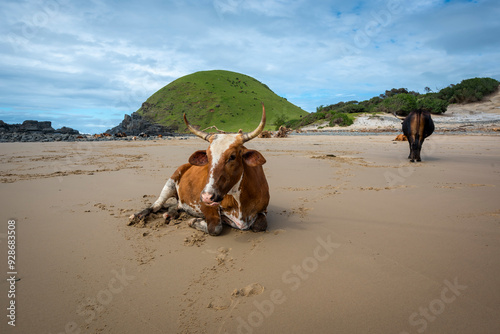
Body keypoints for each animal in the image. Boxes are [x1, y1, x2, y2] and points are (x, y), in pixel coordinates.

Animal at [129, 103, 270, 236]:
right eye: (207, 156)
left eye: (232, 156)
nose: (207, 196)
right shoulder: (207, 207)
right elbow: (215, 228)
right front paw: (193, 221)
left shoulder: (263, 211)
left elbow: (260, 226)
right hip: (170, 182)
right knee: (156, 205)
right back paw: (137, 215)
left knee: (175, 206)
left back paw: (171, 213)